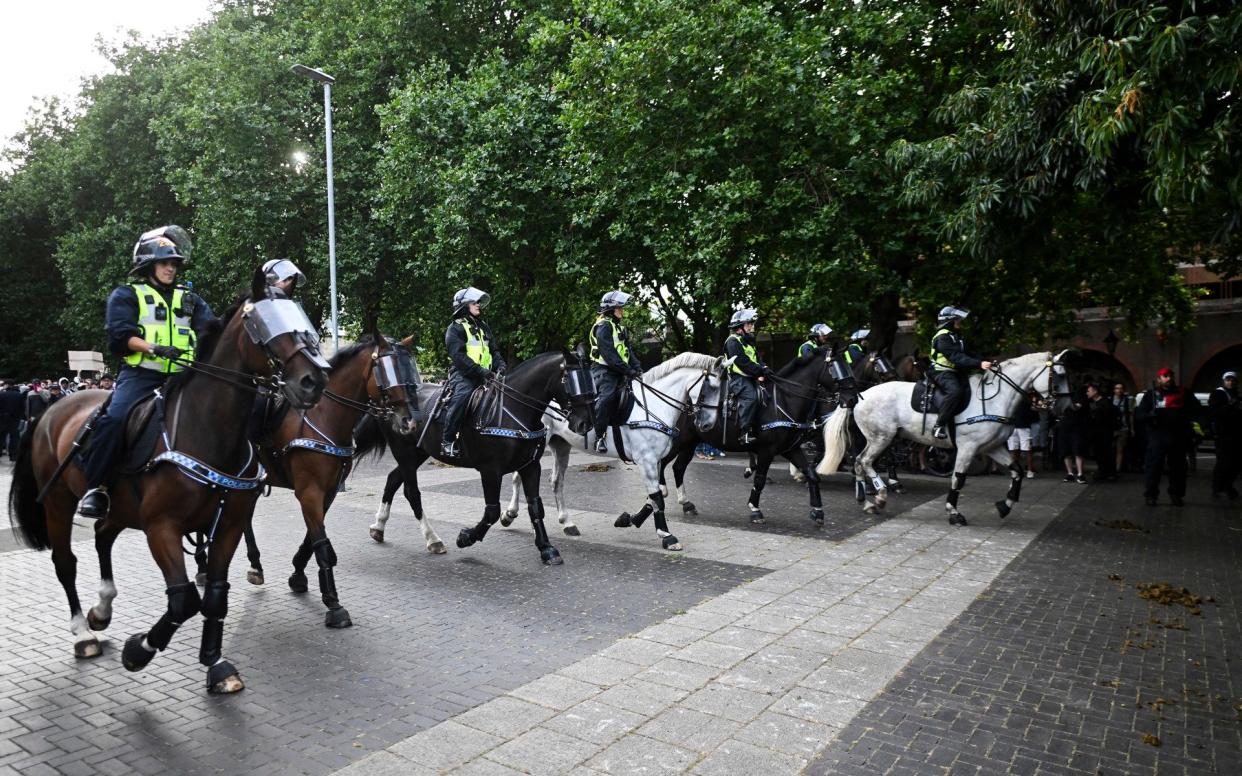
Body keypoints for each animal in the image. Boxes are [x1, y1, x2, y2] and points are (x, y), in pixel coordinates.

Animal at [8, 270, 330, 690]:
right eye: (261, 324)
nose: (314, 381)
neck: (208, 430)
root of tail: (51, 410)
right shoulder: (162, 527)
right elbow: (183, 600)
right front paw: (138, 651)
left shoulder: (228, 525)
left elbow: (215, 595)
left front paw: (215, 663)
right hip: (58, 504)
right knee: (66, 562)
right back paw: (83, 633)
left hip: (121, 508)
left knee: (102, 536)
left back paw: (101, 609)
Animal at [362, 350, 593, 563]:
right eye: (571, 379)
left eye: (589, 377)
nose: (584, 423)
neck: (511, 410)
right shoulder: (490, 470)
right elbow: (492, 511)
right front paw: (466, 537)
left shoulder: (531, 466)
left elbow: (535, 506)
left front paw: (546, 548)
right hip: (405, 453)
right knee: (412, 493)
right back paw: (432, 539)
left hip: (418, 453)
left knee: (393, 479)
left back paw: (378, 527)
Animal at [501, 350, 725, 551]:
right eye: (711, 388)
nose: (707, 425)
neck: (653, 406)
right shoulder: (647, 461)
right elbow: (657, 498)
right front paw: (666, 535)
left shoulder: (655, 461)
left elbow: (656, 496)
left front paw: (629, 519)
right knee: (518, 477)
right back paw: (509, 514)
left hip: (561, 444)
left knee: (557, 482)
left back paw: (567, 522)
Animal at [814, 352, 1068, 526]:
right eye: (1059, 376)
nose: (1065, 408)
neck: (995, 398)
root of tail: (860, 396)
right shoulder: (968, 447)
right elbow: (958, 479)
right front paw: (954, 513)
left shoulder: (993, 447)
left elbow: (1017, 471)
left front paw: (1005, 506)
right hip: (880, 438)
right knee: (864, 461)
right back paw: (880, 496)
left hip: (882, 438)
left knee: (859, 462)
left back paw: (866, 500)